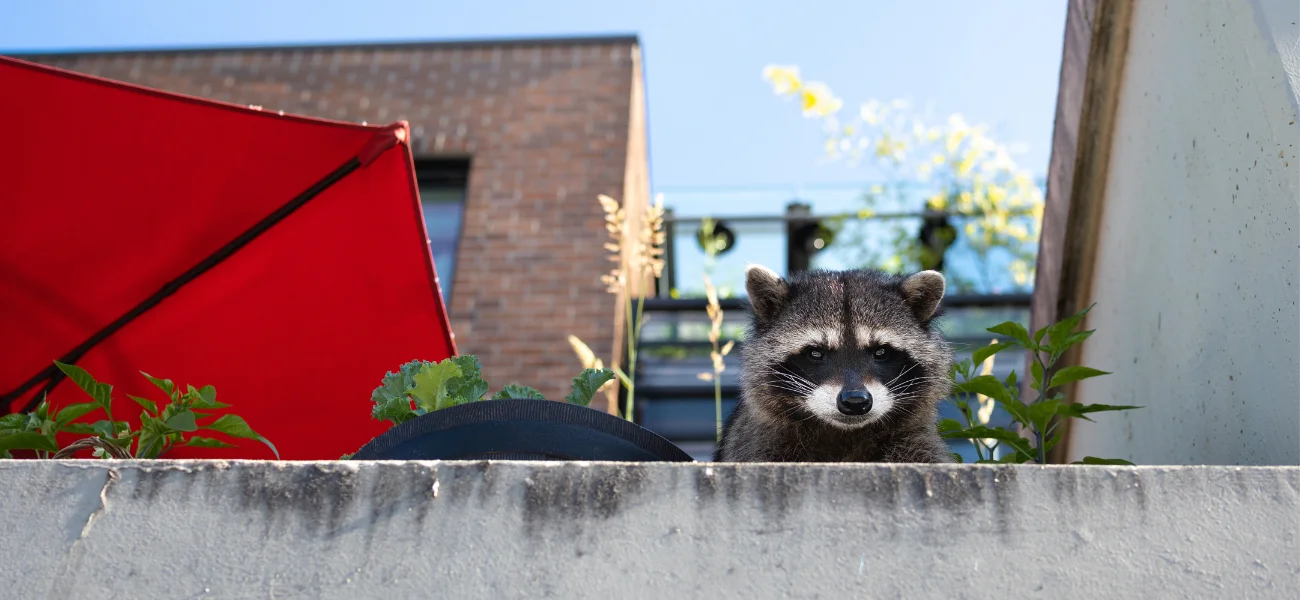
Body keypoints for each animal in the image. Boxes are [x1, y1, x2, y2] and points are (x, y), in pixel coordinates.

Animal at [714, 265, 954, 463]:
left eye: (881, 352)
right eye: (815, 353)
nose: (855, 401)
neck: (844, 434)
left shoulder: (914, 440)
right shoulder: (759, 442)